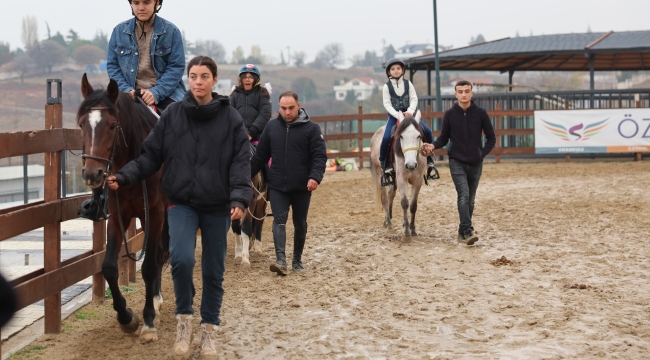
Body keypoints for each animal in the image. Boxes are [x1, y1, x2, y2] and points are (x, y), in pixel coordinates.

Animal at [77, 74, 168, 344]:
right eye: (81, 125)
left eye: (112, 125)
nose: (93, 174)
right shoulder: (118, 215)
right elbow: (108, 267)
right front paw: (126, 317)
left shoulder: (155, 214)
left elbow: (149, 266)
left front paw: (148, 321)